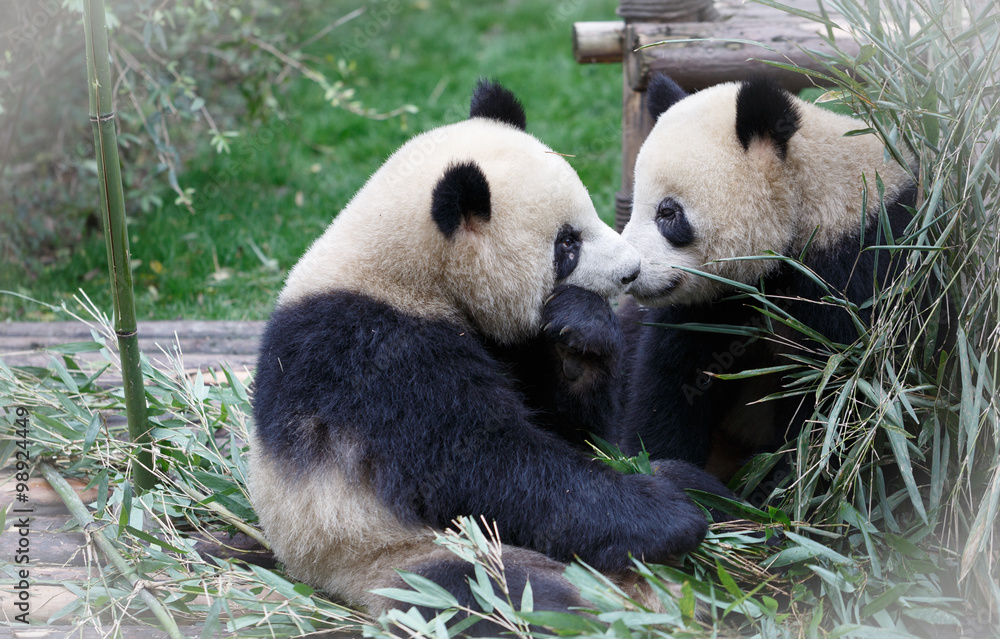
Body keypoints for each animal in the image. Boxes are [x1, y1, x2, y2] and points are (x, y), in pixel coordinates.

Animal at [249, 79, 728, 634]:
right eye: (567, 243)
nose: (630, 271)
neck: (407, 272)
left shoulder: (507, 343)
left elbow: (577, 433)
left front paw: (581, 332)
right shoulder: (373, 352)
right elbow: (479, 461)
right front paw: (669, 518)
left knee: (683, 475)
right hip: (401, 556)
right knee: (508, 597)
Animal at [618, 73, 917, 483]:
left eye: (668, 212)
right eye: (634, 205)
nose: (629, 274)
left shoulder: (861, 265)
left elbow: (841, 398)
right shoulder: (709, 306)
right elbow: (671, 380)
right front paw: (657, 465)